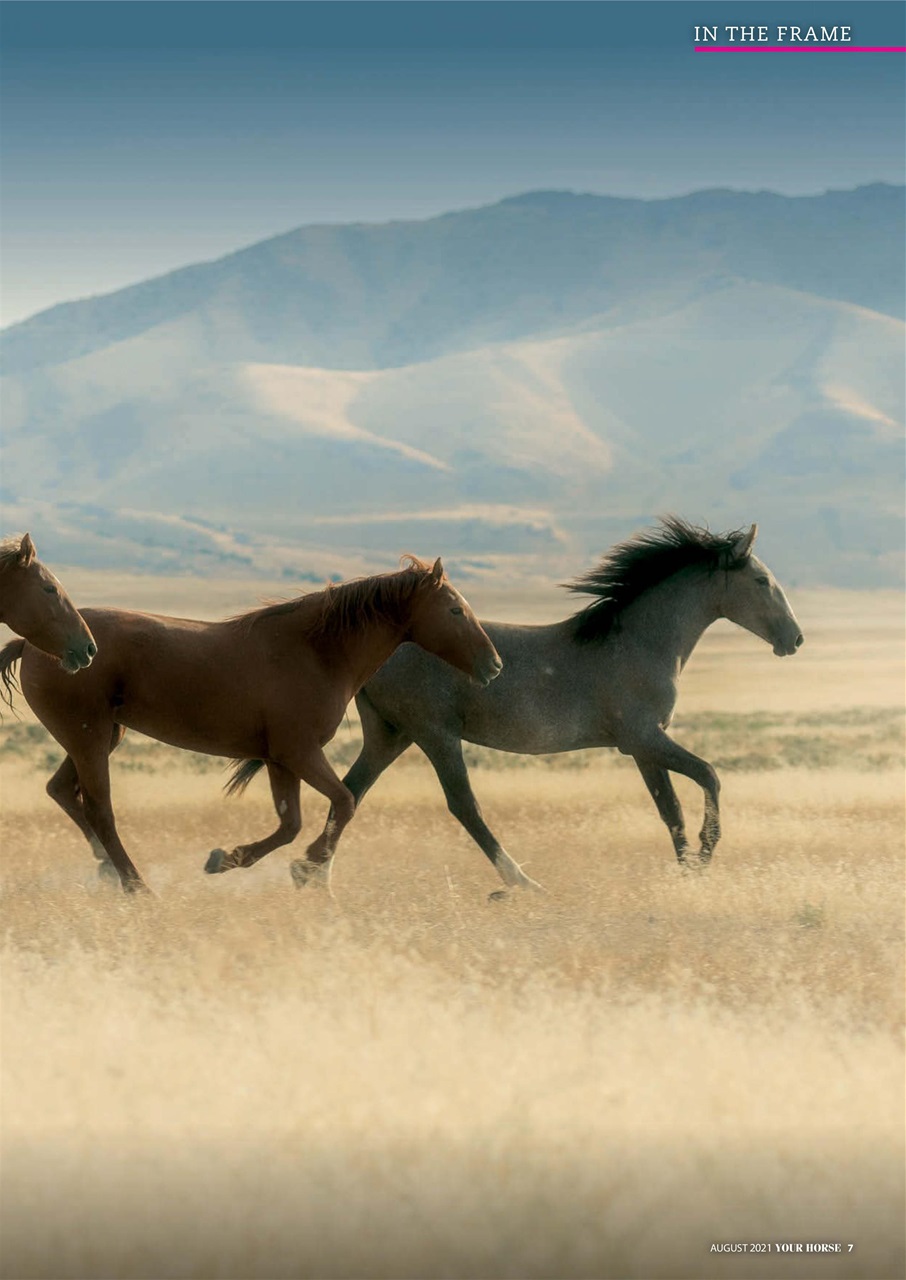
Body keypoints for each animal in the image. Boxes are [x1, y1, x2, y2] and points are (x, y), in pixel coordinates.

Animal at [0, 557, 501, 894]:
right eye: (455, 610)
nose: (494, 666)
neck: (316, 651)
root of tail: (33, 645)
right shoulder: (299, 752)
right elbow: (343, 802)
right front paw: (305, 870)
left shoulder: (280, 760)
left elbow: (291, 824)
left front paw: (226, 859)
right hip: (88, 737)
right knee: (99, 809)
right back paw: (136, 886)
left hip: (101, 736)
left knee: (63, 792)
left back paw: (109, 870)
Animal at [287, 519, 803, 893]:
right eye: (762, 581)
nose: (794, 639)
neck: (641, 642)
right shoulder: (644, 737)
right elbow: (709, 776)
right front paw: (705, 855)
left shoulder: (642, 747)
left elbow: (670, 809)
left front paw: (687, 873)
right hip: (435, 734)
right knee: (463, 806)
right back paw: (522, 883)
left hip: (391, 735)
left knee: (351, 793)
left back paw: (312, 876)